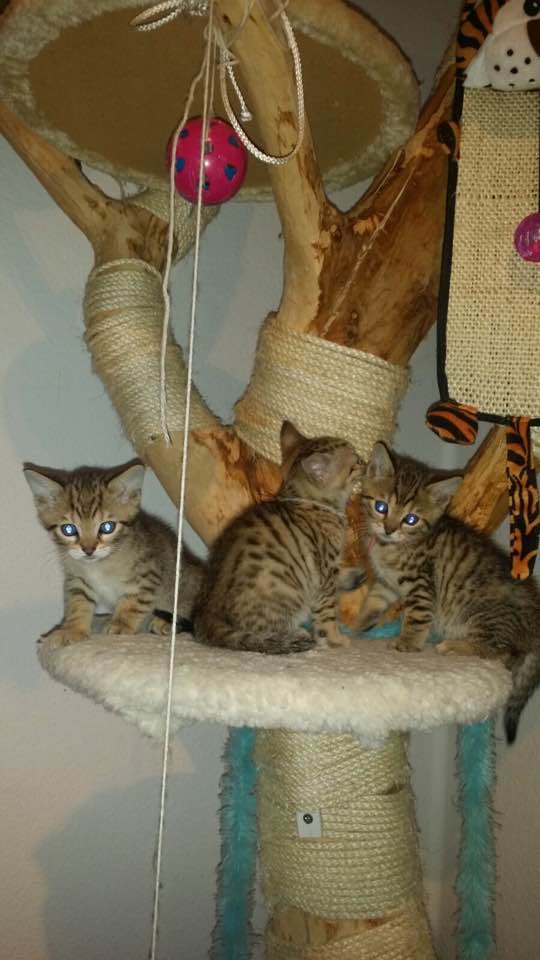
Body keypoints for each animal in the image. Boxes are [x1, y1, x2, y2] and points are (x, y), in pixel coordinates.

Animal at [24, 458, 204, 647]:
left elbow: (134, 600)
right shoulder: (77, 578)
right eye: (68, 529)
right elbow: (77, 602)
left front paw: (121, 624)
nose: (88, 550)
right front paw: (72, 630)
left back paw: (165, 623)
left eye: (107, 527)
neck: (98, 565)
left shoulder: (147, 572)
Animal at [192, 421, 365, 655]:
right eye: (354, 461)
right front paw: (335, 639)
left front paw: (352, 577)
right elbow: (327, 613)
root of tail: (207, 616)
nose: (365, 461)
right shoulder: (325, 572)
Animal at [358, 441, 540, 742]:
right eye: (380, 506)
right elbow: (374, 599)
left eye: (411, 519)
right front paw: (358, 624)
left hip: (485, 613)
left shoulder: (421, 584)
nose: (389, 529)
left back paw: (455, 645)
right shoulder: (388, 584)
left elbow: (417, 616)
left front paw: (407, 642)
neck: (395, 547)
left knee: (500, 653)